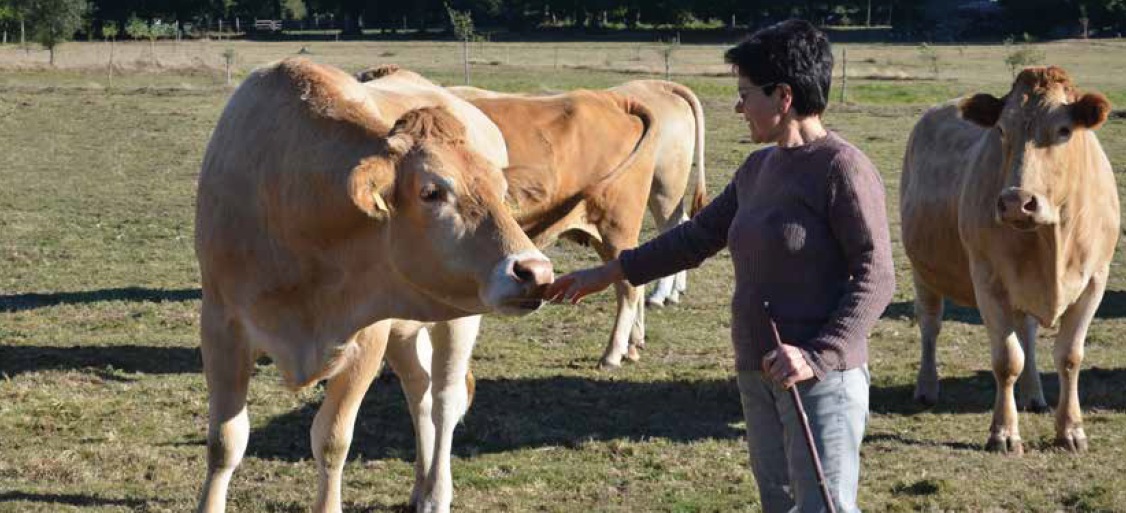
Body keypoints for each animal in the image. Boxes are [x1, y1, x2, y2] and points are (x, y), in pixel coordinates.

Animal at [194, 57, 553, 513]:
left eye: (503, 192)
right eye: (432, 192)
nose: (535, 271)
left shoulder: (367, 335)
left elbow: (332, 439)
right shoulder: (221, 326)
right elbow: (225, 442)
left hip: (459, 316)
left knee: (444, 400)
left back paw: (436, 492)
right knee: (419, 391)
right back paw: (420, 486)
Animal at [896, 66, 1116, 454]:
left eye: (1063, 130)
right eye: (1000, 130)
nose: (1016, 201)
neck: (1052, 238)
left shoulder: (1095, 281)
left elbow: (1069, 356)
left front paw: (1071, 429)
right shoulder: (988, 281)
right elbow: (1006, 359)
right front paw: (1003, 433)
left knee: (1026, 329)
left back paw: (1034, 395)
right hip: (923, 271)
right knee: (930, 324)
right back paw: (926, 387)